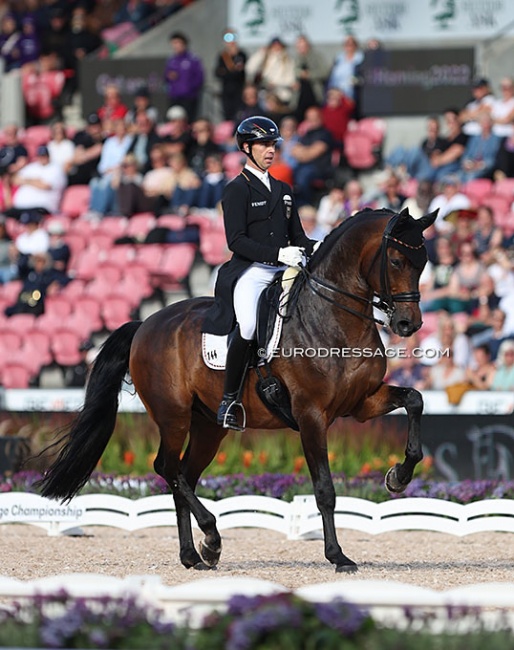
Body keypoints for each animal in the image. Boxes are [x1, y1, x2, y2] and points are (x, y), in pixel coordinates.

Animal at [39, 208, 432, 572]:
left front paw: (398, 478)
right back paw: (211, 538)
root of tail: (146, 323)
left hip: (208, 426)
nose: (408, 324)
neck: (333, 318)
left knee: (184, 476)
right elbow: (324, 489)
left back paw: (194, 555)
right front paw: (338, 556)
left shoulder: (362, 403)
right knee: (167, 468)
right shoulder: (310, 414)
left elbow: (414, 400)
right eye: (396, 260)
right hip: (173, 416)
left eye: (424, 262)